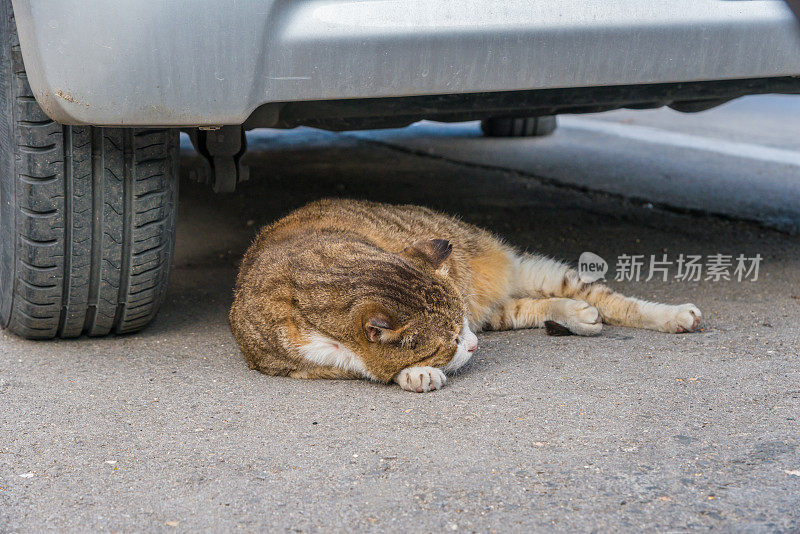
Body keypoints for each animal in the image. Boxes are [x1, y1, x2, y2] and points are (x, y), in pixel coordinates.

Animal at [230, 201, 700, 394]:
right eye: (452, 339)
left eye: (462, 328)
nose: (474, 344)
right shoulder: (288, 363)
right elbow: (359, 366)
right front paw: (415, 373)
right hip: (501, 308)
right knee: (527, 307)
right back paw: (577, 315)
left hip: (523, 268)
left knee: (608, 298)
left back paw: (674, 315)